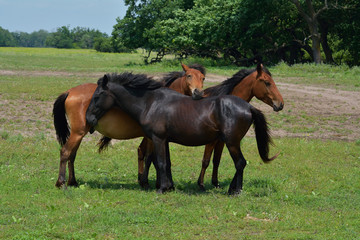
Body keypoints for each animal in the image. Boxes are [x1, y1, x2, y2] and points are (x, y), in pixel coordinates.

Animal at [52, 63, 205, 188]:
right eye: (189, 76)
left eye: (203, 78)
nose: (198, 93)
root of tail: (70, 91)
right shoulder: (153, 138)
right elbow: (153, 158)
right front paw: (152, 183)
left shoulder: (157, 138)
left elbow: (154, 157)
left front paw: (153, 182)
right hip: (77, 133)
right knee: (65, 152)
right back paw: (61, 183)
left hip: (79, 134)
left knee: (72, 155)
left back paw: (73, 182)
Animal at [86, 72, 278, 194]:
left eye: (97, 96)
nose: (88, 119)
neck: (151, 102)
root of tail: (249, 107)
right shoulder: (163, 140)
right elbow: (165, 163)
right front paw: (168, 186)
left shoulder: (158, 139)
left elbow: (161, 162)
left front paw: (162, 188)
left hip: (231, 142)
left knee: (240, 163)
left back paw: (235, 191)